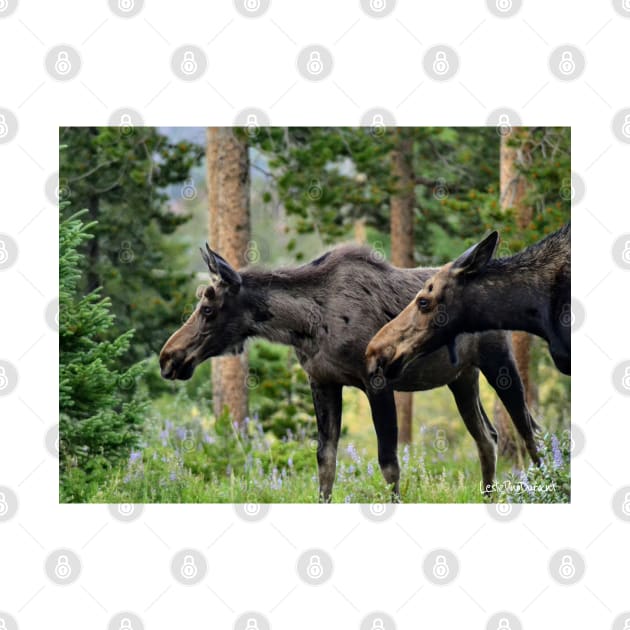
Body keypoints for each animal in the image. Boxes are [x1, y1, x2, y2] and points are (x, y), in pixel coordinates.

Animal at [160, 243, 540, 504]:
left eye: (208, 309)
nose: (168, 358)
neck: (305, 325)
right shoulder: (323, 382)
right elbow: (325, 460)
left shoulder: (377, 382)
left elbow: (389, 463)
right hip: (462, 378)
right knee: (487, 438)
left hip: (499, 362)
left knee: (528, 433)